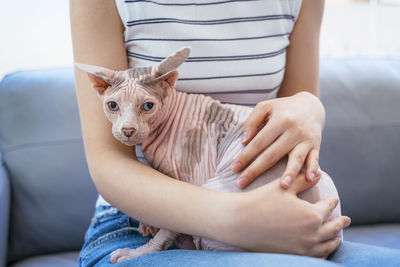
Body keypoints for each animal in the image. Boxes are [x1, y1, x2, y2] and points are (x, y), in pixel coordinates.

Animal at [76, 47, 342, 264]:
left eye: (148, 106)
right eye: (112, 106)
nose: (128, 130)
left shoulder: (191, 178)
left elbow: (169, 226)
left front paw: (142, 249)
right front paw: (146, 223)